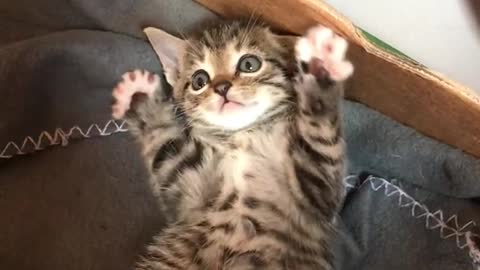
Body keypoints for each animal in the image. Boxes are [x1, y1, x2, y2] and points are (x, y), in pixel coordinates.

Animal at [112, 21, 352, 270]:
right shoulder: (188, 192)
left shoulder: (318, 196)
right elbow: (167, 146)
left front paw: (320, 69)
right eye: (199, 80)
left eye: (249, 64)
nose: (222, 87)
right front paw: (140, 97)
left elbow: (320, 140)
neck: (242, 137)